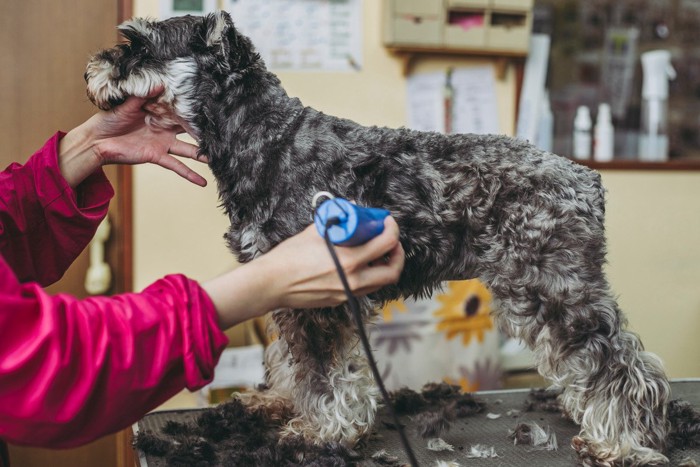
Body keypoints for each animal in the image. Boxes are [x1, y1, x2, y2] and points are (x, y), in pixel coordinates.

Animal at [85, 11, 668, 467]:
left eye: (138, 45)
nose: (93, 69)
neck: (268, 139)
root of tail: (585, 178)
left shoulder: (317, 298)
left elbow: (321, 371)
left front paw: (319, 432)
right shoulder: (286, 290)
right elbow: (291, 361)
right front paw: (278, 402)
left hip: (547, 288)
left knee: (616, 362)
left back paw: (620, 441)